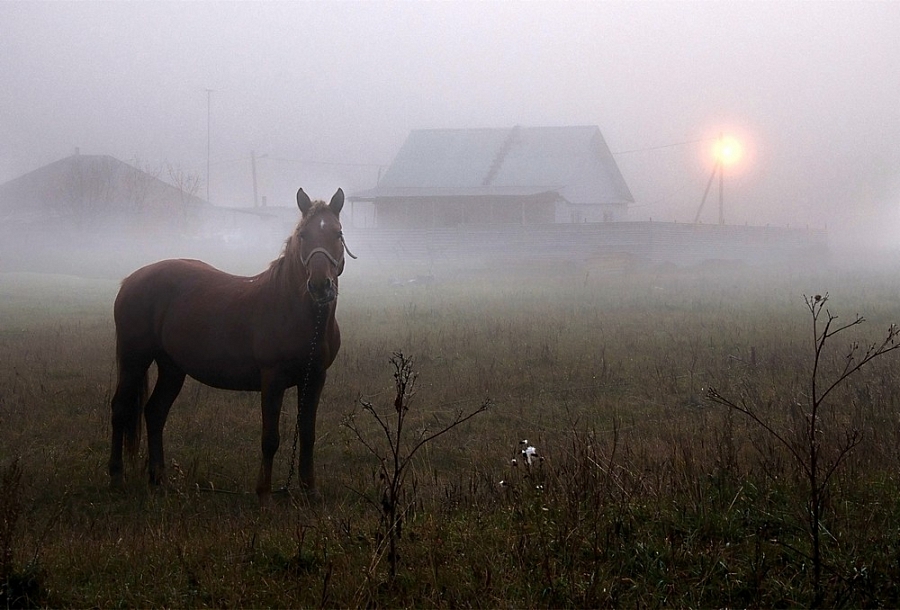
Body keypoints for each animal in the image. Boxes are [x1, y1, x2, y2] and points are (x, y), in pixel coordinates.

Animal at [108, 188, 353, 504]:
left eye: (338, 233)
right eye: (303, 235)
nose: (321, 286)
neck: (295, 310)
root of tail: (130, 280)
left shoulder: (315, 379)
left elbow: (308, 434)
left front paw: (310, 491)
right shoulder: (272, 379)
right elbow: (270, 438)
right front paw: (264, 494)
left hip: (172, 367)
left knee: (155, 412)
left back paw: (159, 479)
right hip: (134, 359)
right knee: (120, 409)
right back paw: (116, 478)